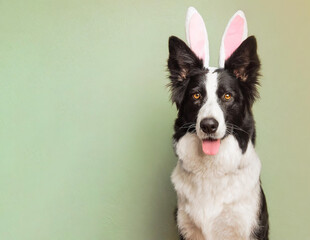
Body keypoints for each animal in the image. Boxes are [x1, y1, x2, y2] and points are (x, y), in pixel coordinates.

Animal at [167, 7, 268, 240]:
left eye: (227, 96)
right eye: (196, 95)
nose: (208, 125)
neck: (211, 171)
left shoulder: (248, 227)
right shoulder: (186, 229)